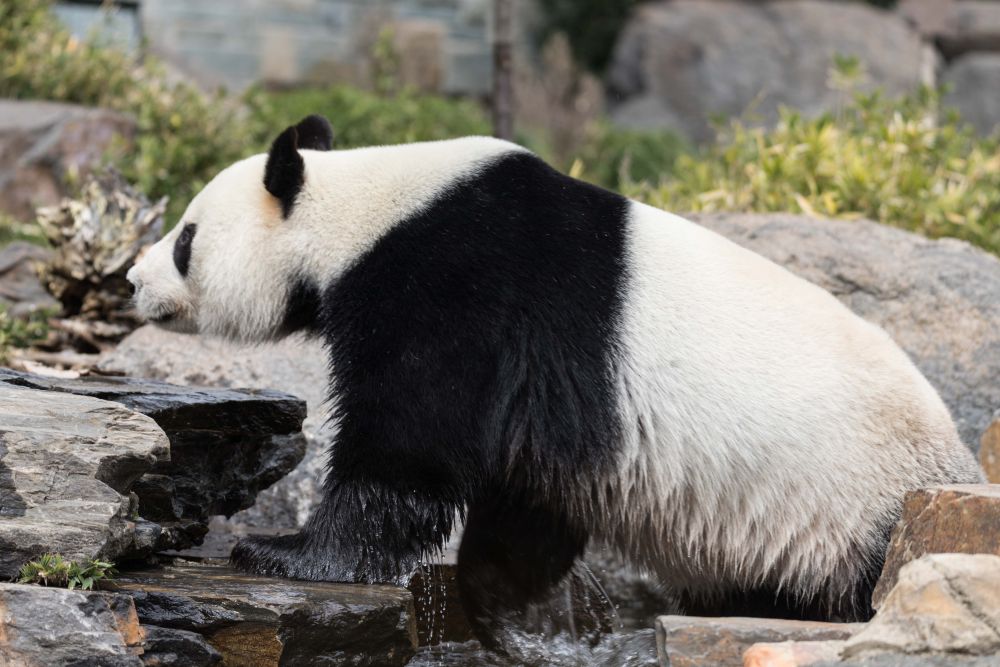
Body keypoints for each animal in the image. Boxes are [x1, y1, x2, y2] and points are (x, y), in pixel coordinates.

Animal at [127, 113, 984, 648]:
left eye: (187, 239)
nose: (132, 279)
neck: (358, 210)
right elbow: (522, 487)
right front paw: (505, 596)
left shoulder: (451, 284)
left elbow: (408, 447)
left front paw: (285, 552)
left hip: (855, 502)